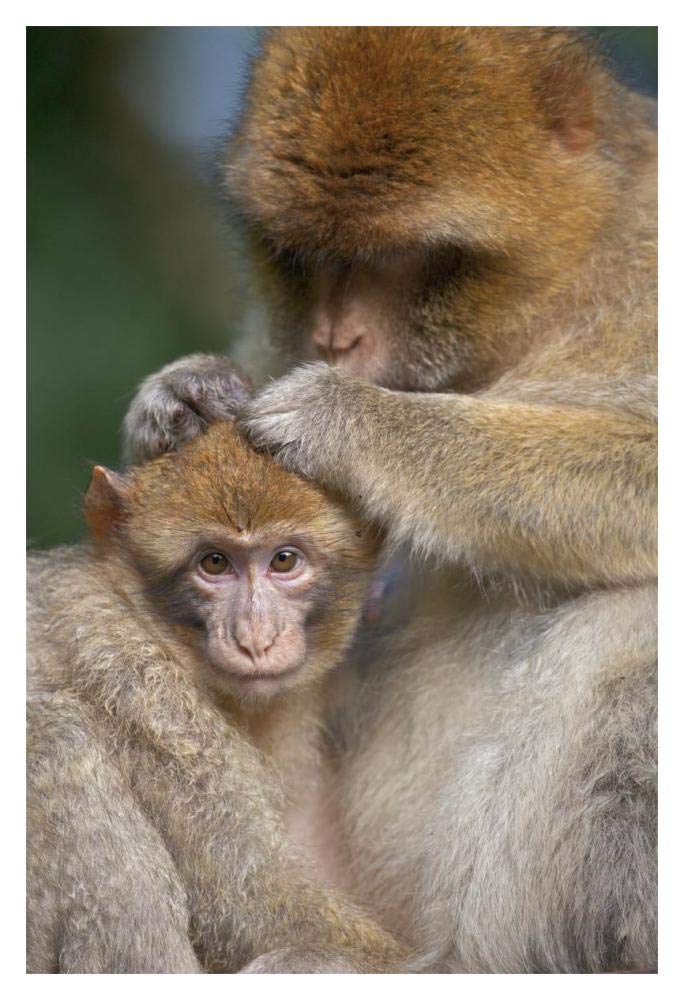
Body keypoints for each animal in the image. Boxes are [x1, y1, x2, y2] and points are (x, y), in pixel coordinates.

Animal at [27, 418, 406, 974]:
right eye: (214, 562)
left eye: (284, 560)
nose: (255, 637)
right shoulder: (140, 688)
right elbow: (255, 904)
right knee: (52, 735)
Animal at [121, 28, 657, 972]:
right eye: (303, 256)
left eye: (401, 259)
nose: (337, 338)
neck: (557, 291)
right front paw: (180, 397)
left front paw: (349, 423)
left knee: (633, 621)